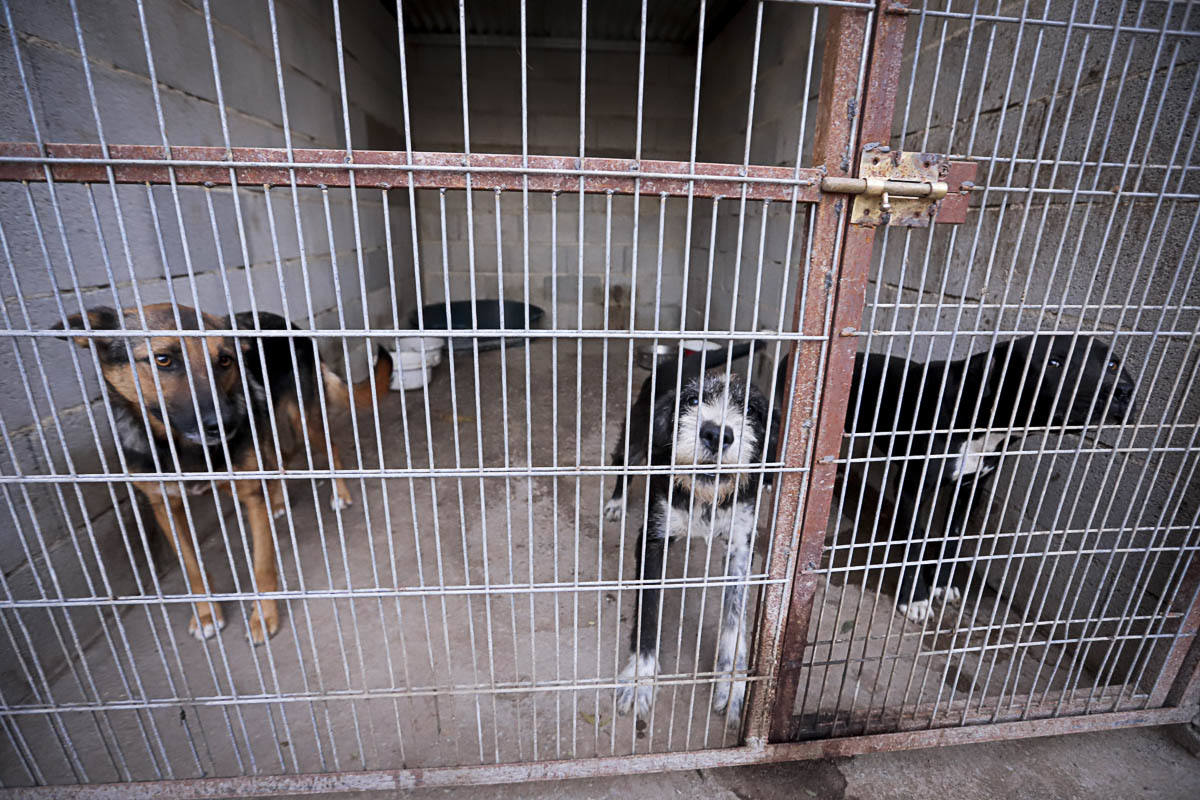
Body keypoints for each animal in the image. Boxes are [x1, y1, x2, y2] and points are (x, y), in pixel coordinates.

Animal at [56, 304, 393, 642]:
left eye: (225, 360)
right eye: (163, 359)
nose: (227, 423)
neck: (183, 448)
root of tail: (289, 323)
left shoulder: (249, 491)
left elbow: (262, 565)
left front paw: (264, 617)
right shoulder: (164, 505)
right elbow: (192, 566)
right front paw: (207, 614)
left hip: (302, 418)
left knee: (328, 447)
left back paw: (339, 494)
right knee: (275, 459)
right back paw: (278, 501)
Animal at [614, 371, 772, 729]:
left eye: (751, 410)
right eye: (691, 400)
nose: (716, 433)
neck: (705, 496)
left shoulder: (741, 545)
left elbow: (735, 616)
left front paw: (732, 682)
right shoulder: (653, 539)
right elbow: (647, 612)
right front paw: (641, 677)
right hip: (636, 434)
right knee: (622, 460)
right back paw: (615, 502)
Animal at [844, 335, 1132, 623]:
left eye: (1114, 364)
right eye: (1054, 362)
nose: (1122, 390)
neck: (981, 418)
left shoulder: (970, 489)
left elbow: (952, 539)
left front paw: (942, 583)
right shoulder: (911, 490)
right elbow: (912, 544)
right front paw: (915, 598)